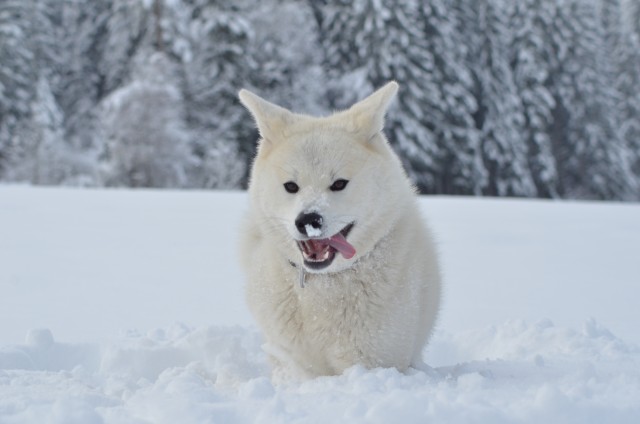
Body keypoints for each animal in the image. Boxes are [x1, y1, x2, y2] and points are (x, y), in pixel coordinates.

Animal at [238, 83, 442, 378]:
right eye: (291, 186)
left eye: (338, 184)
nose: (308, 220)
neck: (324, 285)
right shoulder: (294, 361)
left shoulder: (374, 360)